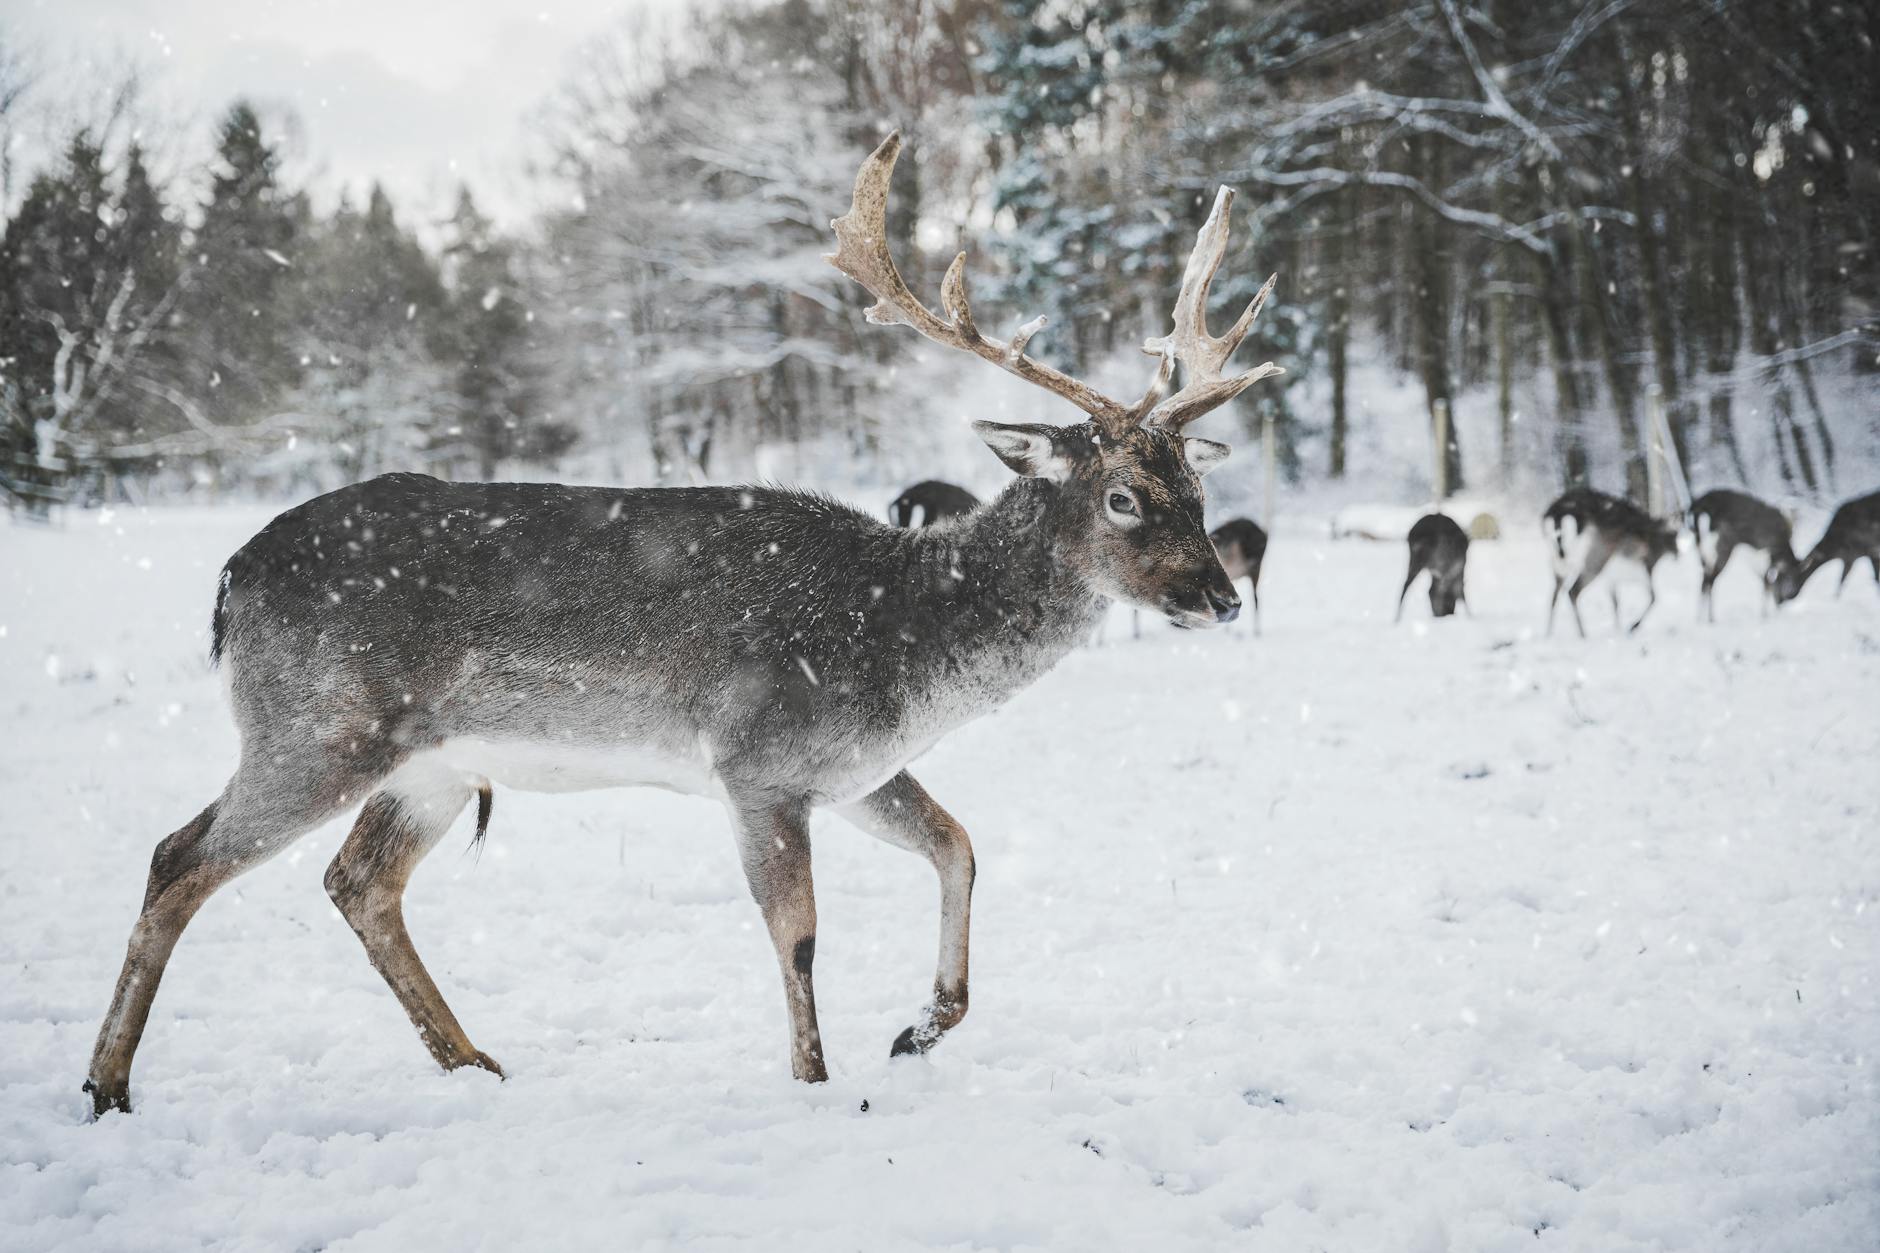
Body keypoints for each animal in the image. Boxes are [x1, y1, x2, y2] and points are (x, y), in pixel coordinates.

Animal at [80, 128, 1285, 1113]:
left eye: (1196, 482)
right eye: (1122, 495)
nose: (1219, 596)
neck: (905, 644)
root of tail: (231, 578)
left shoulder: (852, 768)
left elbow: (960, 845)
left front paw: (918, 1028)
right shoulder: (760, 757)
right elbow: (799, 934)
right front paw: (815, 1082)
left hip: (427, 763)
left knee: (357, 882)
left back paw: (473, 1062)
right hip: (317, 724)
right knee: (178, 856)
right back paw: (108, 1084)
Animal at [1541, 481, 1676, 628]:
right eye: (1675, 536)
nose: (1677, 554)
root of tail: (1558, 517)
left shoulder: (1611, 580)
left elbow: (1616, 604)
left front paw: (1619, 628)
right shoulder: (1642, 570)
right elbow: (1654, 596)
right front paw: (1632, 626)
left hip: (1556, 562)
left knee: (1554, 594)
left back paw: (1548, 632)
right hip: (1594, 561)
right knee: (1572, 591)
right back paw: (1585, 632)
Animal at [1692, 485, 1804, 617]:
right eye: (1793, 578)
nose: (1790, 596)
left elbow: (1766, 583)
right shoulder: (1765, 556)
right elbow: (1767, 584)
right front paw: (1766, 615)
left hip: (1703, 553)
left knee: (1704, 583)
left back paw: (1701, 618)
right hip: (1722, 549)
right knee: (1710, 582)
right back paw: (1711, 618)